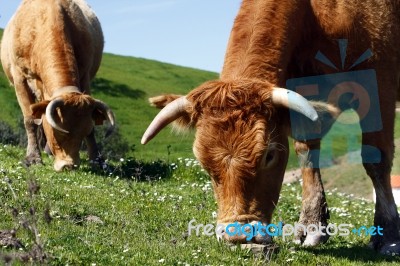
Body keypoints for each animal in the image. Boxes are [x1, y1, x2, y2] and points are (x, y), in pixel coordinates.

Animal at [1, 0, 114, 171]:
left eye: (84, 131)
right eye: (57, 131)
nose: (69, 165)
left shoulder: (85, 76)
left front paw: (97, 160)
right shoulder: (20, 78)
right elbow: (30, 120)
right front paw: (33, 158)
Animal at [142, 0, 400, 254]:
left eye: (269, 155)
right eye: (204, 163)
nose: (238, 236)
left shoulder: (380, 84)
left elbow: (376, 159)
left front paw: (388, 236)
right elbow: (307, 153)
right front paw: (312, 226)